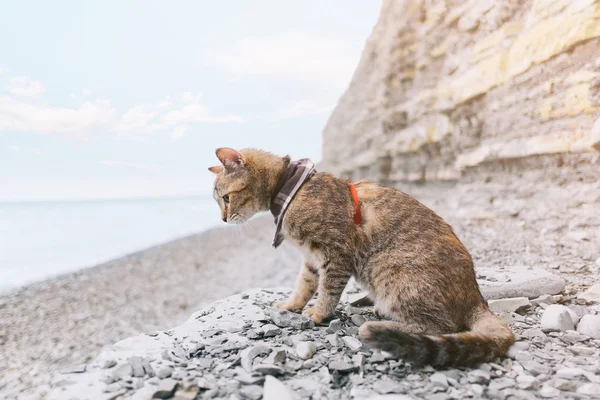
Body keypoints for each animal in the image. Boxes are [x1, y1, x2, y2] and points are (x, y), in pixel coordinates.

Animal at [209, 147, 512, 366]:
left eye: (226, 198)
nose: (222, 220)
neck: (291, 189)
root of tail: (476, 296)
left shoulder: (337, 252)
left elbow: (328, 290)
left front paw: (319, 313)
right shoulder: (312, 258)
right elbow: (304, 285)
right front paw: (291, 304)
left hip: (387, 267)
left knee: (440, 326)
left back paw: (386, 324)